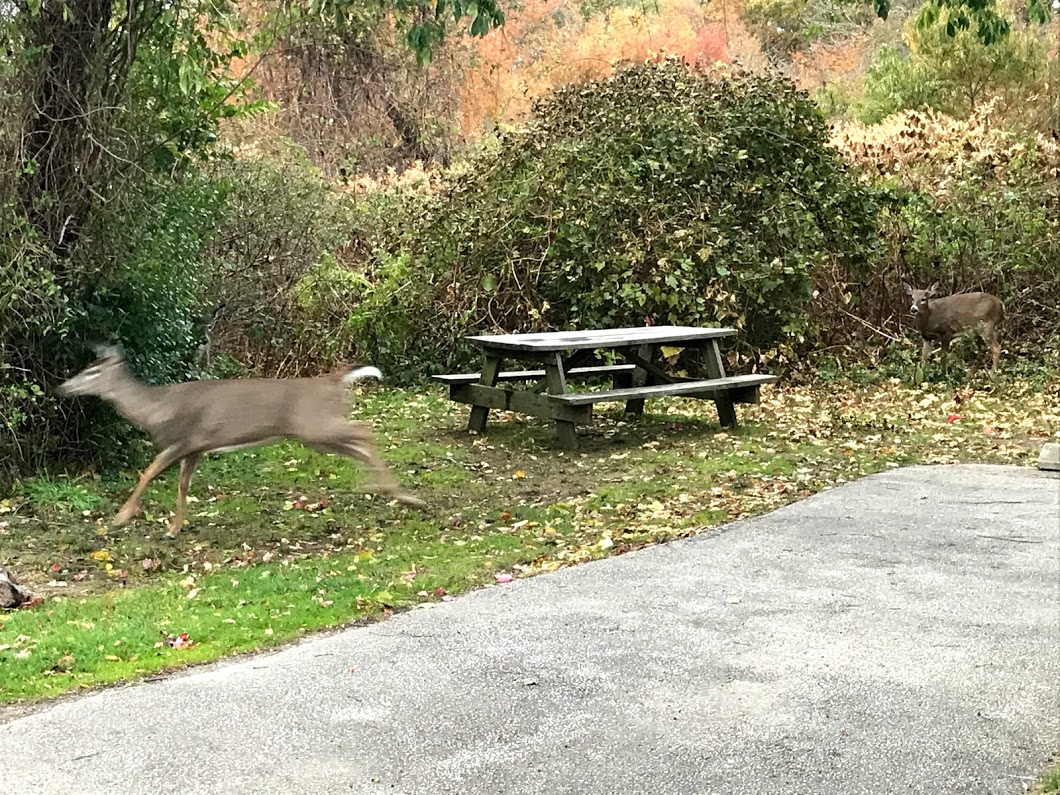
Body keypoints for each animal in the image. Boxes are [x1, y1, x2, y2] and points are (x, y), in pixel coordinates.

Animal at [58, 345, 426, 537]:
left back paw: (403, 495)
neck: (156, 409)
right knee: (359, 444)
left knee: (365, 430)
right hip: (315, 435)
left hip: (316, 426)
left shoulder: (184, 439)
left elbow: (148, 472)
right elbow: (182, 484)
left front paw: (121, 517)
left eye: (92, 372)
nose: (62, 387)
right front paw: (175, 527)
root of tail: (334, 380)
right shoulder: (197, 448)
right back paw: (382, 489)